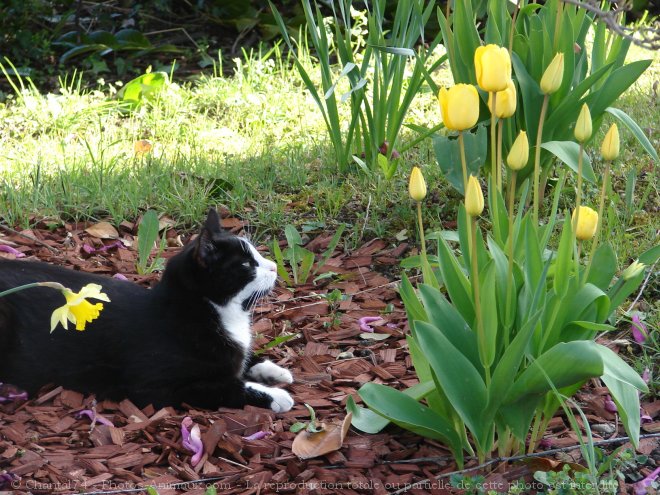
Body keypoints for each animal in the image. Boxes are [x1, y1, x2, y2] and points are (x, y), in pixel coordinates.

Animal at [0, 211, 294, 412]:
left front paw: (274, 371)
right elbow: (225, 386)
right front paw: (275, 396)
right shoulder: (158, 387)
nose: (273, 267)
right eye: (246, 264)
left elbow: (243, 359)